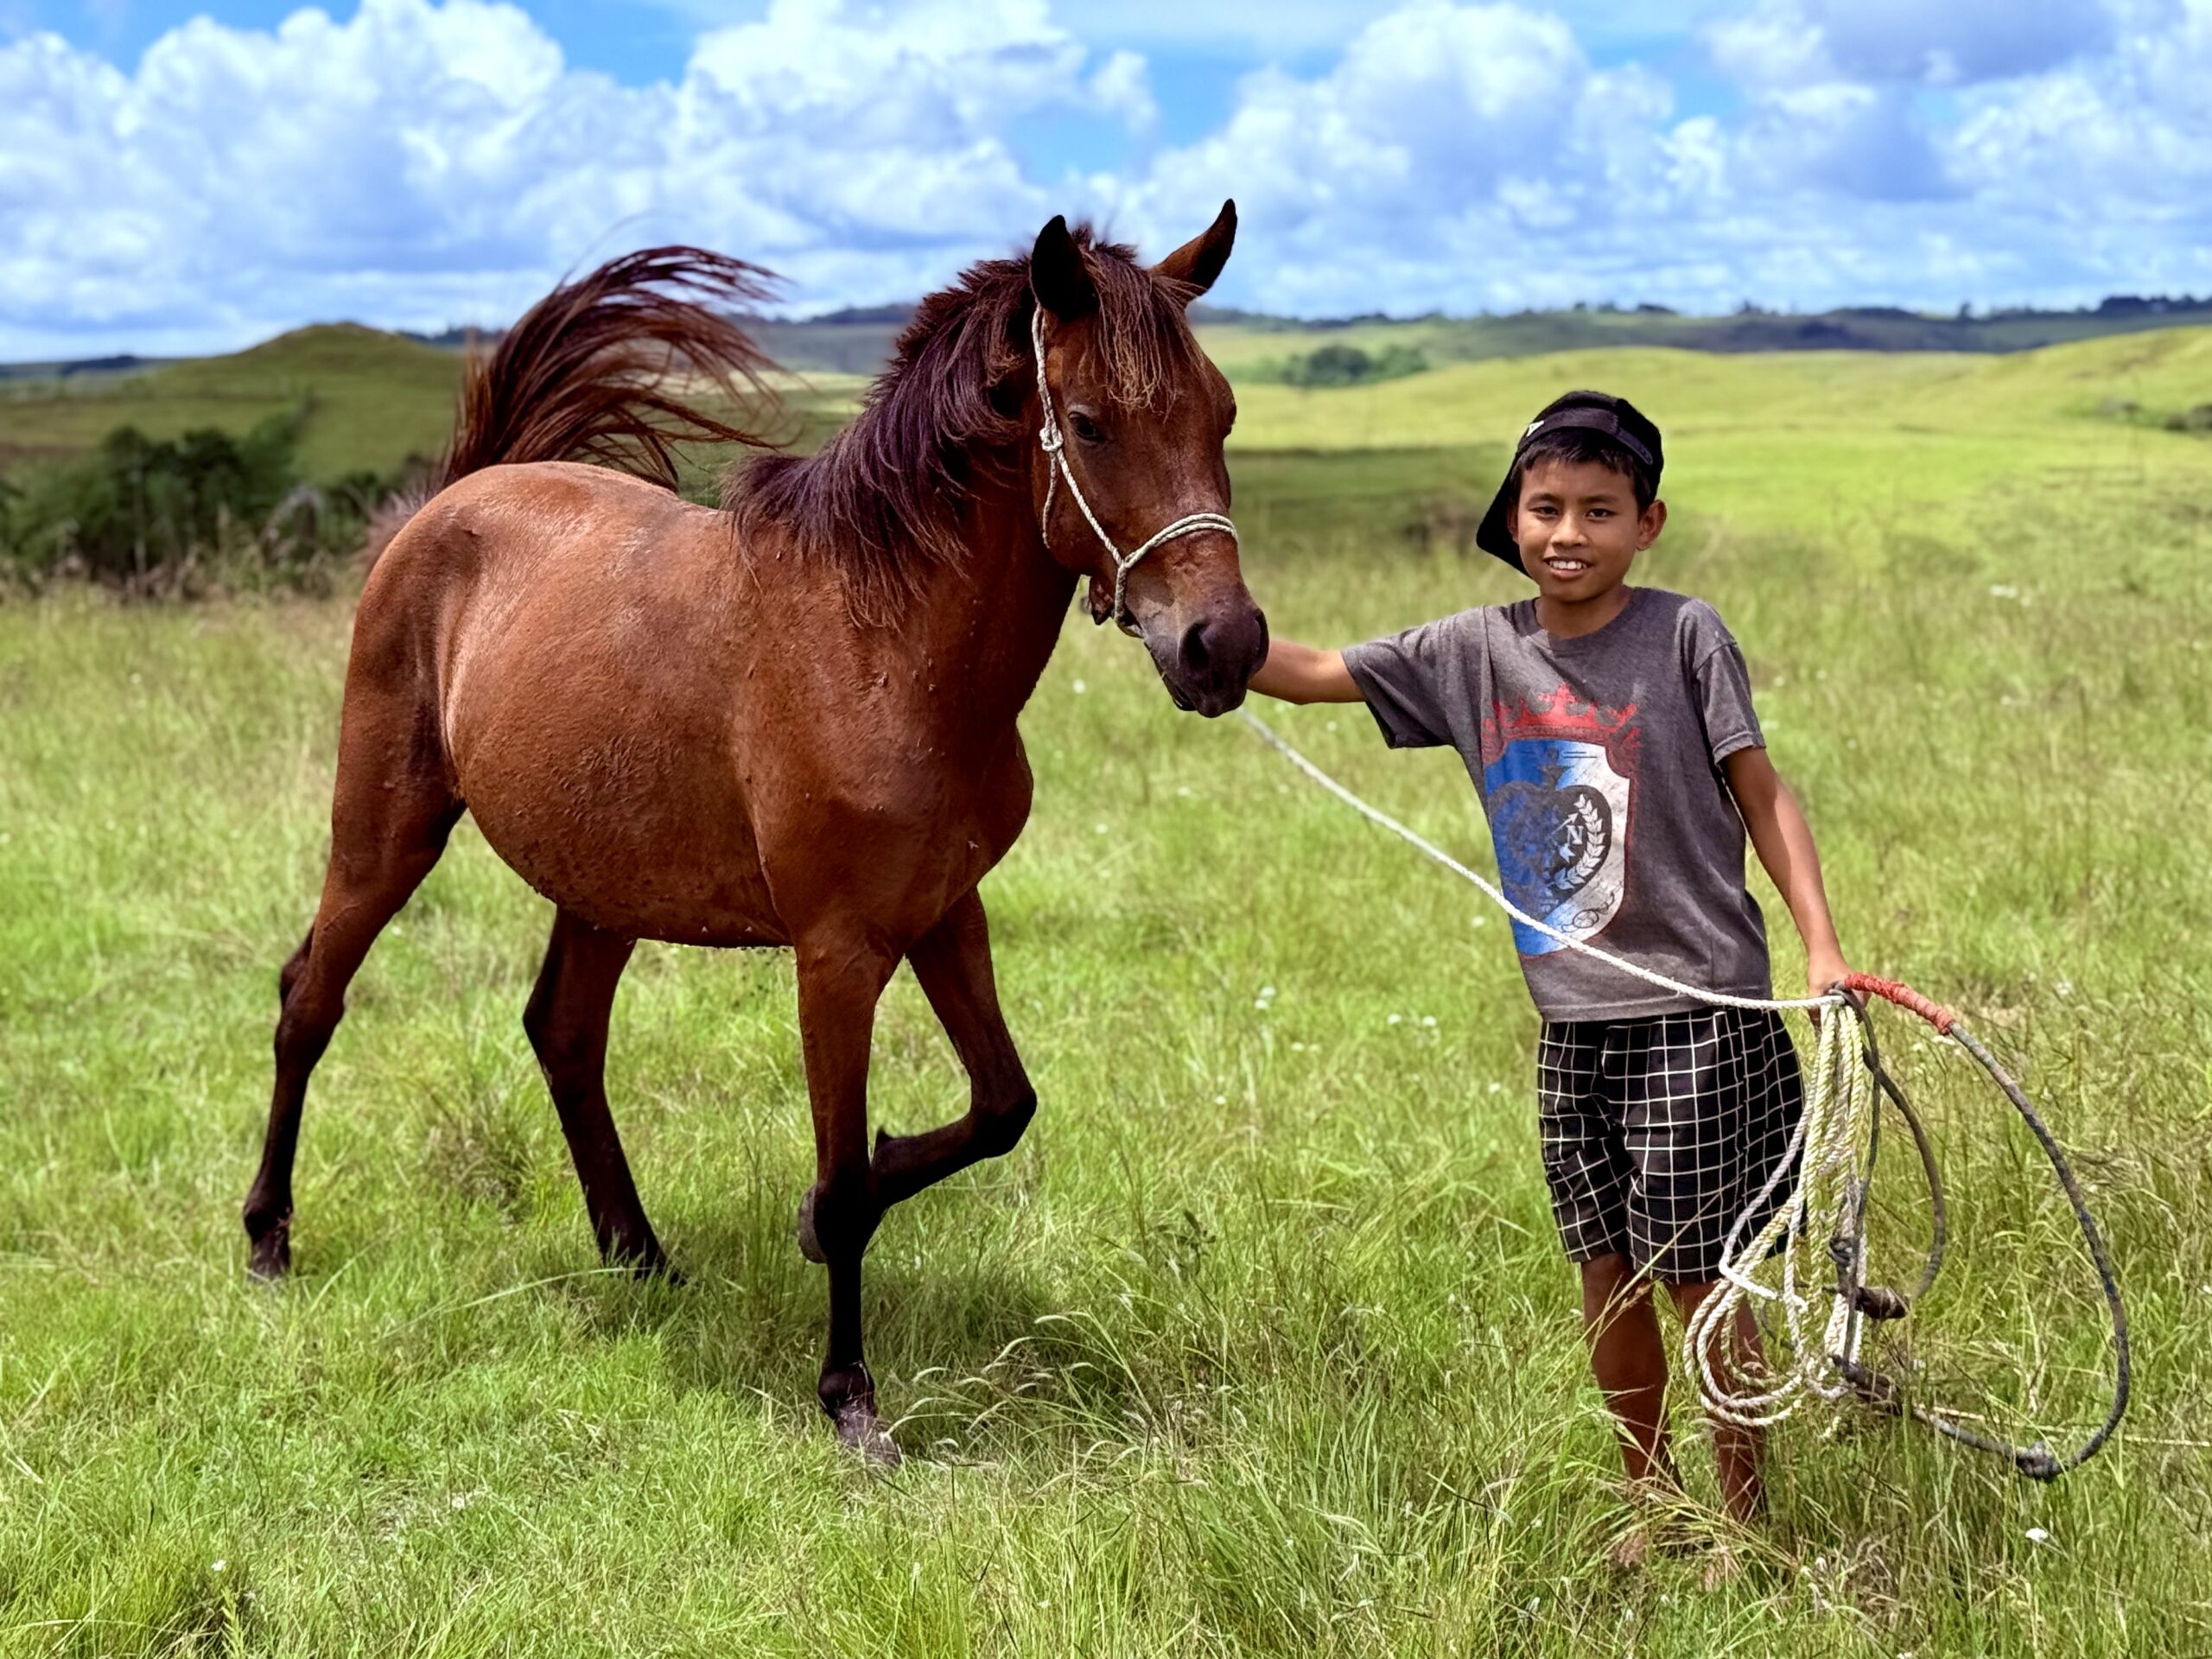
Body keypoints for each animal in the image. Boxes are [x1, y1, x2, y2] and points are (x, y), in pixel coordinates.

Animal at [241, 205, 1267, 1459]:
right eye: (1088, 424)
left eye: (1223, 412)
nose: (1224, 646)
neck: (882, 643)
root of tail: (460, 498)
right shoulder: (838, 953)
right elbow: (844, 1172)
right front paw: (849, 1395)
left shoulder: (944, 914)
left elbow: (1000, 1107)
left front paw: (833, 1217)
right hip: (386, 832)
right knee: (310, 999)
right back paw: (269, 1237)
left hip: (603, 882)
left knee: (562, 1033)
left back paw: (638, 1255)